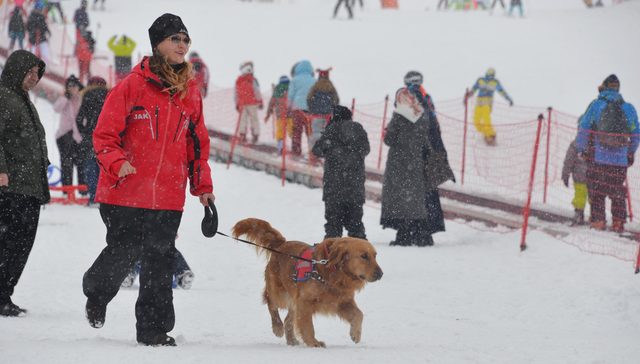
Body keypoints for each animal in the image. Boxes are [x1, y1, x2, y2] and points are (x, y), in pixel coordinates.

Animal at [235, 218, 384, 348]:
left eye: (375, 256)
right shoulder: (304, 302)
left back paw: (291, 340)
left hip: (293, 299)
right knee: (271, 303)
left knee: (288, 320)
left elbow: (359, 314)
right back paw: (277, 327)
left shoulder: (341, 300)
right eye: (364, 256)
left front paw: (355, 334)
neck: (331, 273)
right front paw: (313, 342)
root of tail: (282, 244)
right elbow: (308, 326)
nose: (381, 274)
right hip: (280, 292)